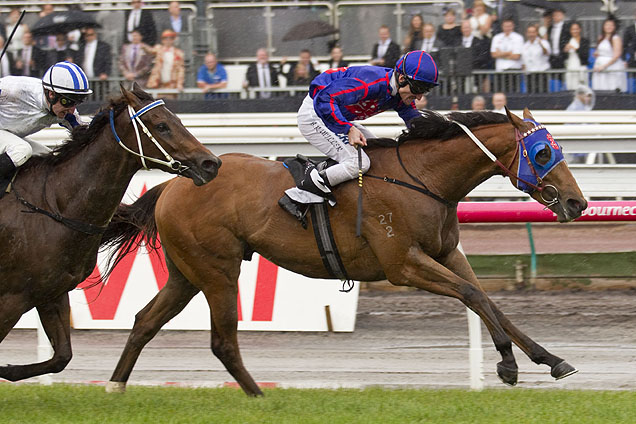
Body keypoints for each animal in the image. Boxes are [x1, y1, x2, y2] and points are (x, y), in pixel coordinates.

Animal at [0, 84, 221, 382]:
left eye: (177, 120)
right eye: (162, 125)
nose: (211, 163)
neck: (53, 203)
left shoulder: (49, 291)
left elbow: (61, 357)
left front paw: (9, 370)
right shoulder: (13, 296)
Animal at [103, 108, 588, 394]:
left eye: (559, 149)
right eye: (542, 153)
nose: (577, 203)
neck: (423, 177)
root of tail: (174, 182)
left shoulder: (446, 254)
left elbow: (489, 301)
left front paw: (549, 359)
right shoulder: (403, 264)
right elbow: (473, 296)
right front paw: (508, 364)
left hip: (187, 272)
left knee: (145, 321)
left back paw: (116, 386)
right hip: (217, 271)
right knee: (222, 340)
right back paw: (259, 397)